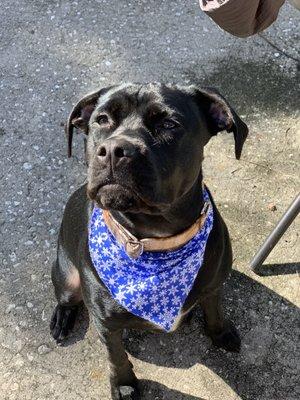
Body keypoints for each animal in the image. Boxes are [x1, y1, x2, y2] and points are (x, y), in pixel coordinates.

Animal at [50, 83, 248, 398]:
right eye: (102, 119)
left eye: (169, 124)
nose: (114, 150)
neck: (154, 240)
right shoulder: (106, 324)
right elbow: (116, 357)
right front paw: (124, 384)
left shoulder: (214, 285)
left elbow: (215, 309)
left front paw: (221, 332)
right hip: (68, 279)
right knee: (66, 297)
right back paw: (62, 318)